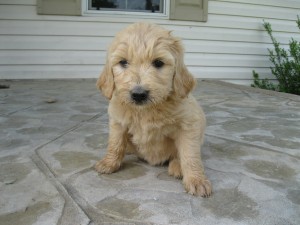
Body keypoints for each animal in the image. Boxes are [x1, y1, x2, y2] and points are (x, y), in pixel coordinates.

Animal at [95, 22, 212, 196]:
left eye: (158, 63)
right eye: (123, 62)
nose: (138, 94)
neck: (145, 110)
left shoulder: (189, 124)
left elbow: (190, 154)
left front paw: (196, 180)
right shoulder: (117, 121)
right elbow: (115, 144)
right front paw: (109, 163)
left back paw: (177, 166)